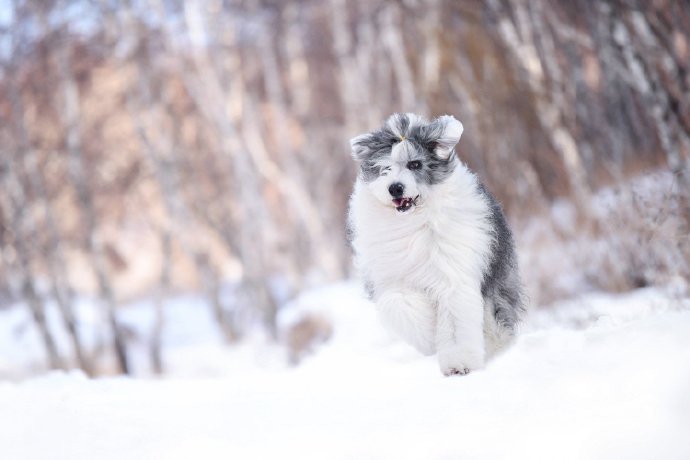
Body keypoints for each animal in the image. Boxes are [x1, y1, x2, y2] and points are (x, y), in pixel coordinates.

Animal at [346, 113, 524, 376]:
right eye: (385, 168)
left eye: (415, 165)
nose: (395, 188)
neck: (414, 221)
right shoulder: (391, 278)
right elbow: (398, 304)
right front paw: (431, 335)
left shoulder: (453, 277)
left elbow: (455, 320)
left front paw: (459, 363)